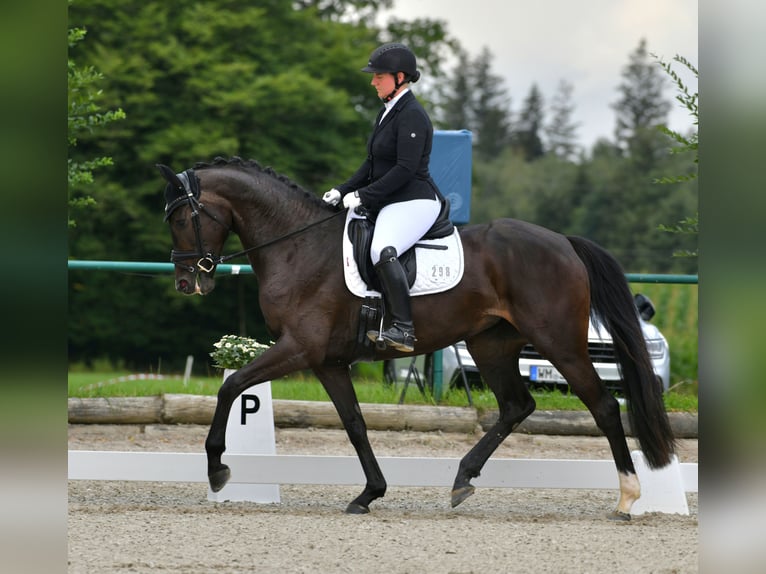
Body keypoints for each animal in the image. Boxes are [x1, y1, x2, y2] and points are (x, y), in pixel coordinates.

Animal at [159, 156, 676, 520]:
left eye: (182, 219)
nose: (186, 282)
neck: (297, 245)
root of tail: (564, 242)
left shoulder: (299, 349)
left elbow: (231, 385)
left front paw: (217, 469)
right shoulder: (327, 360)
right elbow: (355, 424)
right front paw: (369, 493)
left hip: (559, 343)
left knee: (603, 406)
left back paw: (627, 499)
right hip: (491, 345)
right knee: (516, 405)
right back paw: (462, 479)